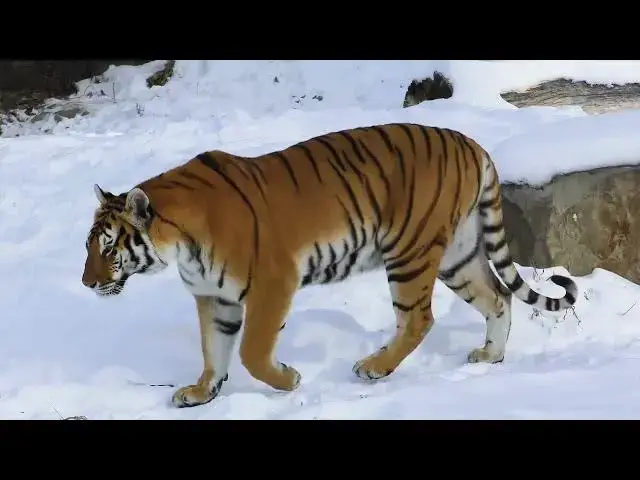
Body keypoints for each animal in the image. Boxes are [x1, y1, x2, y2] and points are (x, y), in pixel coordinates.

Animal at [81, 122, 578, 409]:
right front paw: (203, 392)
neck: (179, 246)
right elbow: (213, 351)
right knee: (498, 296)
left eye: (107, 248)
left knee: (420, 317)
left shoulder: (272, 283)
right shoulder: (213, 298)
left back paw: (374, 367)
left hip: (409, 251)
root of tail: (472, 143)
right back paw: (489, 356)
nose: (86, 284)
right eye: (88, 247)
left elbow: (252, 351)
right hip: (458, 255)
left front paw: (289, 380)